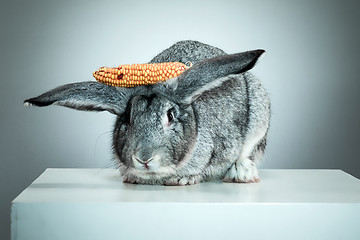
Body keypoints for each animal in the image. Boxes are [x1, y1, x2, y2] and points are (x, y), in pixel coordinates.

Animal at [24, 40, 270, 185]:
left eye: (170, 116)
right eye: (128, 119)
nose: (144, 158)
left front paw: (184, 180)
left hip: (260, 114)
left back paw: (242, 174)